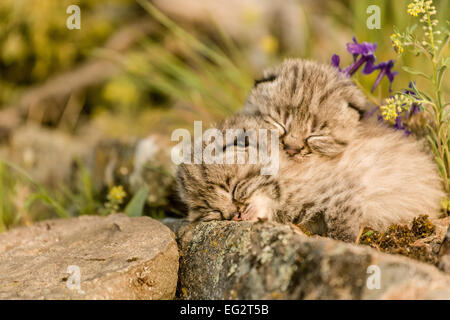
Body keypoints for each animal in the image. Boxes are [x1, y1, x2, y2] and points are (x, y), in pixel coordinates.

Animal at [175, 114, 442, 241]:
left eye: (232, 188)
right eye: (213, 212)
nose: (235, 216)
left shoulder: (347, 186)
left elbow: (342, 216)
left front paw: (344, 242)